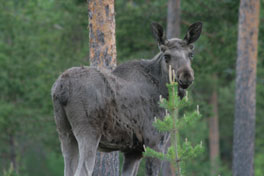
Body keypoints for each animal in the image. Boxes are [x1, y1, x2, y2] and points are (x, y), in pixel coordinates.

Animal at [52, 22, 203, 176]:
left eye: (191, 54)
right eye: (166, 56)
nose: (186, 76)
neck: (164, 93)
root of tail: (61, 88)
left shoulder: (134, 151)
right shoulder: (155, 142)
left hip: (65, 133)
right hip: (89, 132)